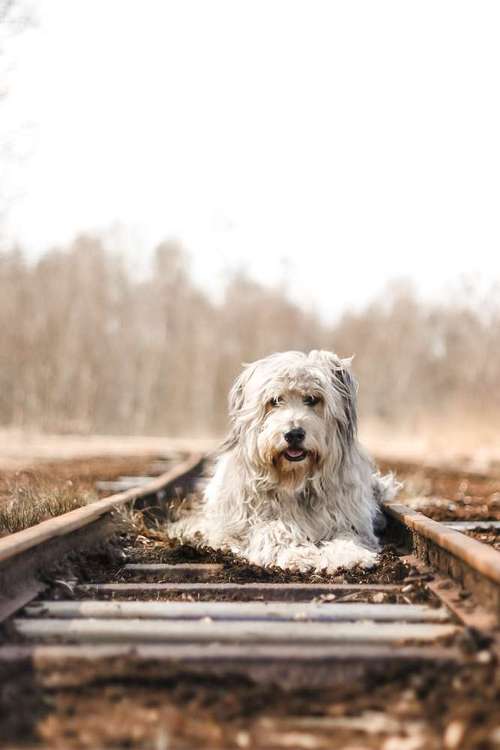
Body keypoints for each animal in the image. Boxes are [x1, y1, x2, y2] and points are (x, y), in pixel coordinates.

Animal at [172, 350, 398, 572]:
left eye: (312, 399)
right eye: (274, 400)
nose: (294, 434)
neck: (294, 480)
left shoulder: (348, 518)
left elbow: (348, 535)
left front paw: (350, 554)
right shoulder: (241, 526)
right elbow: (273, 529)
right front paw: (298, 553)